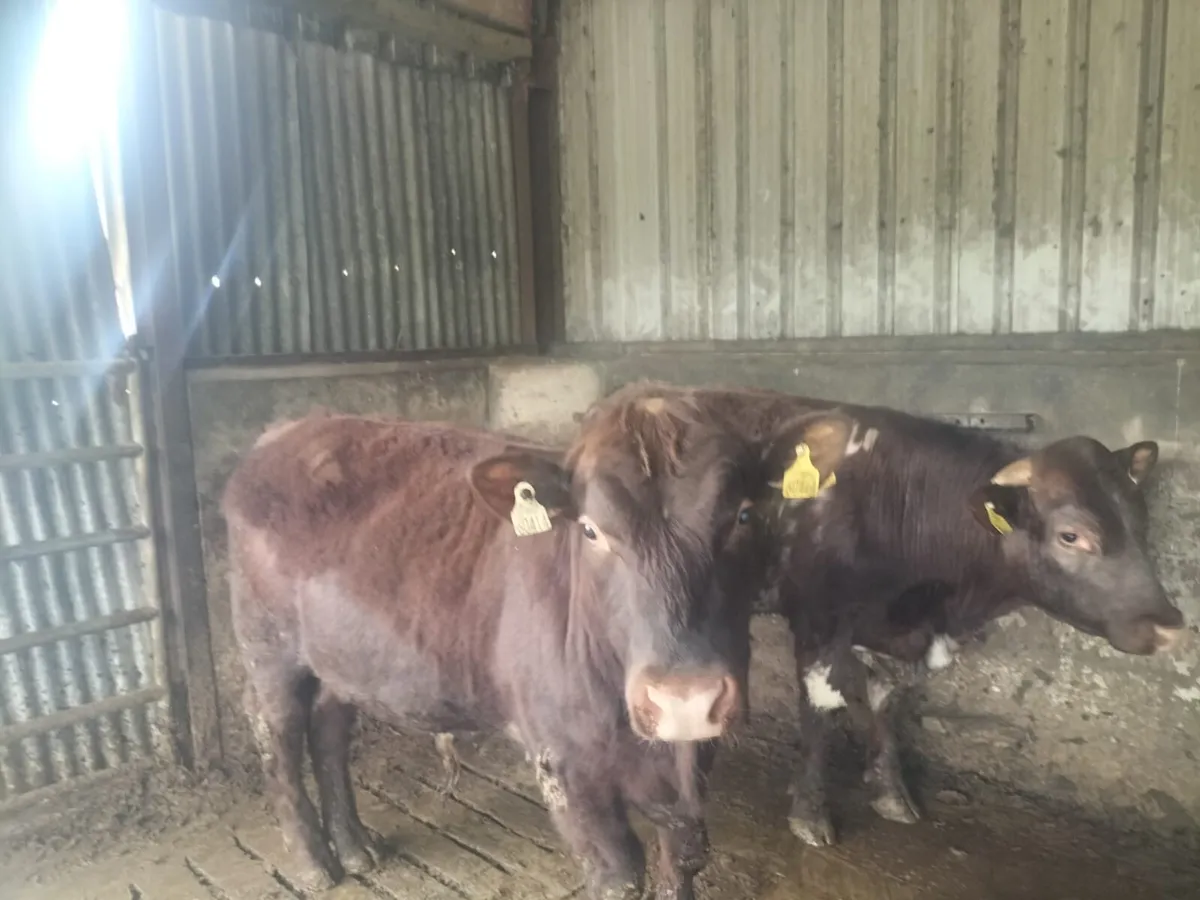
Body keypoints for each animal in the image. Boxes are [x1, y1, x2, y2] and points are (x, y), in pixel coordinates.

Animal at [221, 387, 859, 899]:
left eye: (745, 516)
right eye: (591, 530)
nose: (683, 697)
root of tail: (288, 431)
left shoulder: (692, 761)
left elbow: (682, 862)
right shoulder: (565, 764)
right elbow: (619, 876)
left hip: (340, 659)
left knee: (329, 730)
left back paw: (355, 847)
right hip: (269, 650)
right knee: (275, 732)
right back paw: (313, 862)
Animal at [638, 385, 1187, 848]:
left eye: (1141, 522)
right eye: (1072, 535)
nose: (1170, 625)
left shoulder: (891, 631)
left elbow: (887, 701)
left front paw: (890, 793)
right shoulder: (817, 620)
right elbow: (821, 710)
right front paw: (811, 812)